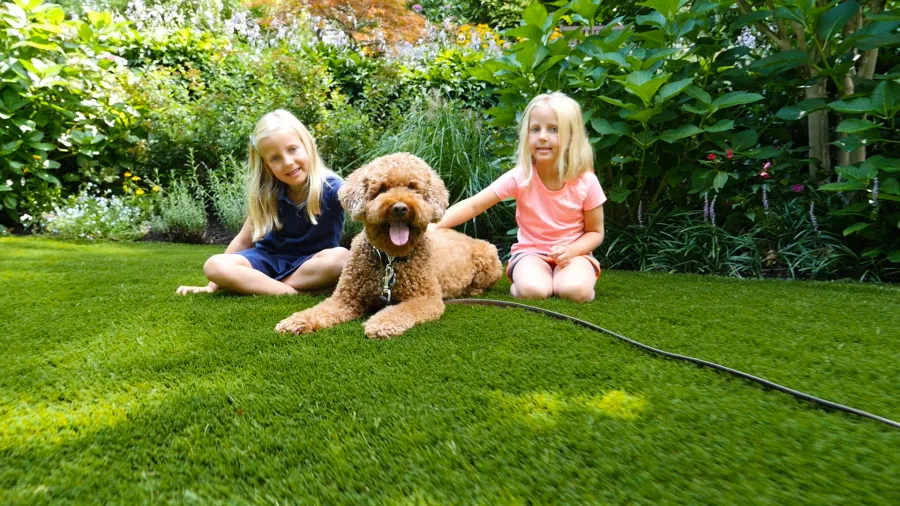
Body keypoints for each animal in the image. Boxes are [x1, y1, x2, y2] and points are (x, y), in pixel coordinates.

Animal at [276, 151, 500, 340]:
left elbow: (401, 310)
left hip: (490, 255)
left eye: (412, 187)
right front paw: (297, 321)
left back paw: (472, 291)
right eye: (382, 188)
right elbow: (321, 310)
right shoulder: (345, 298)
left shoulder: (425, 298)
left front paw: (382, 323)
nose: (400, 208)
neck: (390, 258)